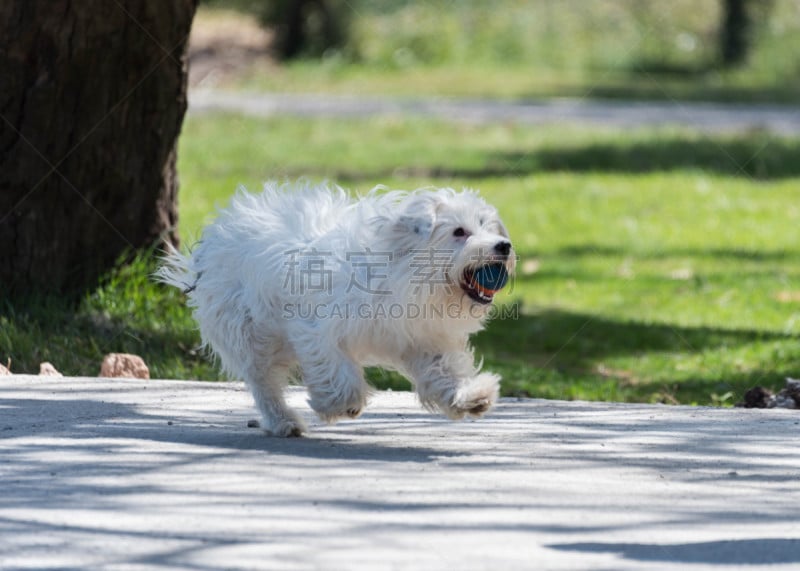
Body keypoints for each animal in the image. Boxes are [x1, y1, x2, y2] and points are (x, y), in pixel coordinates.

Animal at [159, 181, 516, 436]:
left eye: (487, 226)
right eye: (459, 231)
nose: (504, 246)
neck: (401, 275)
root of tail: (217, 236)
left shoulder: (421, 339)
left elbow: (445, 371)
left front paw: (471, 396)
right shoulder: (317, 328)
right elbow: (334, 367)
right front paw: (340, 403)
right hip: (250, 331)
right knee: (263, 381)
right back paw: (282, 420)